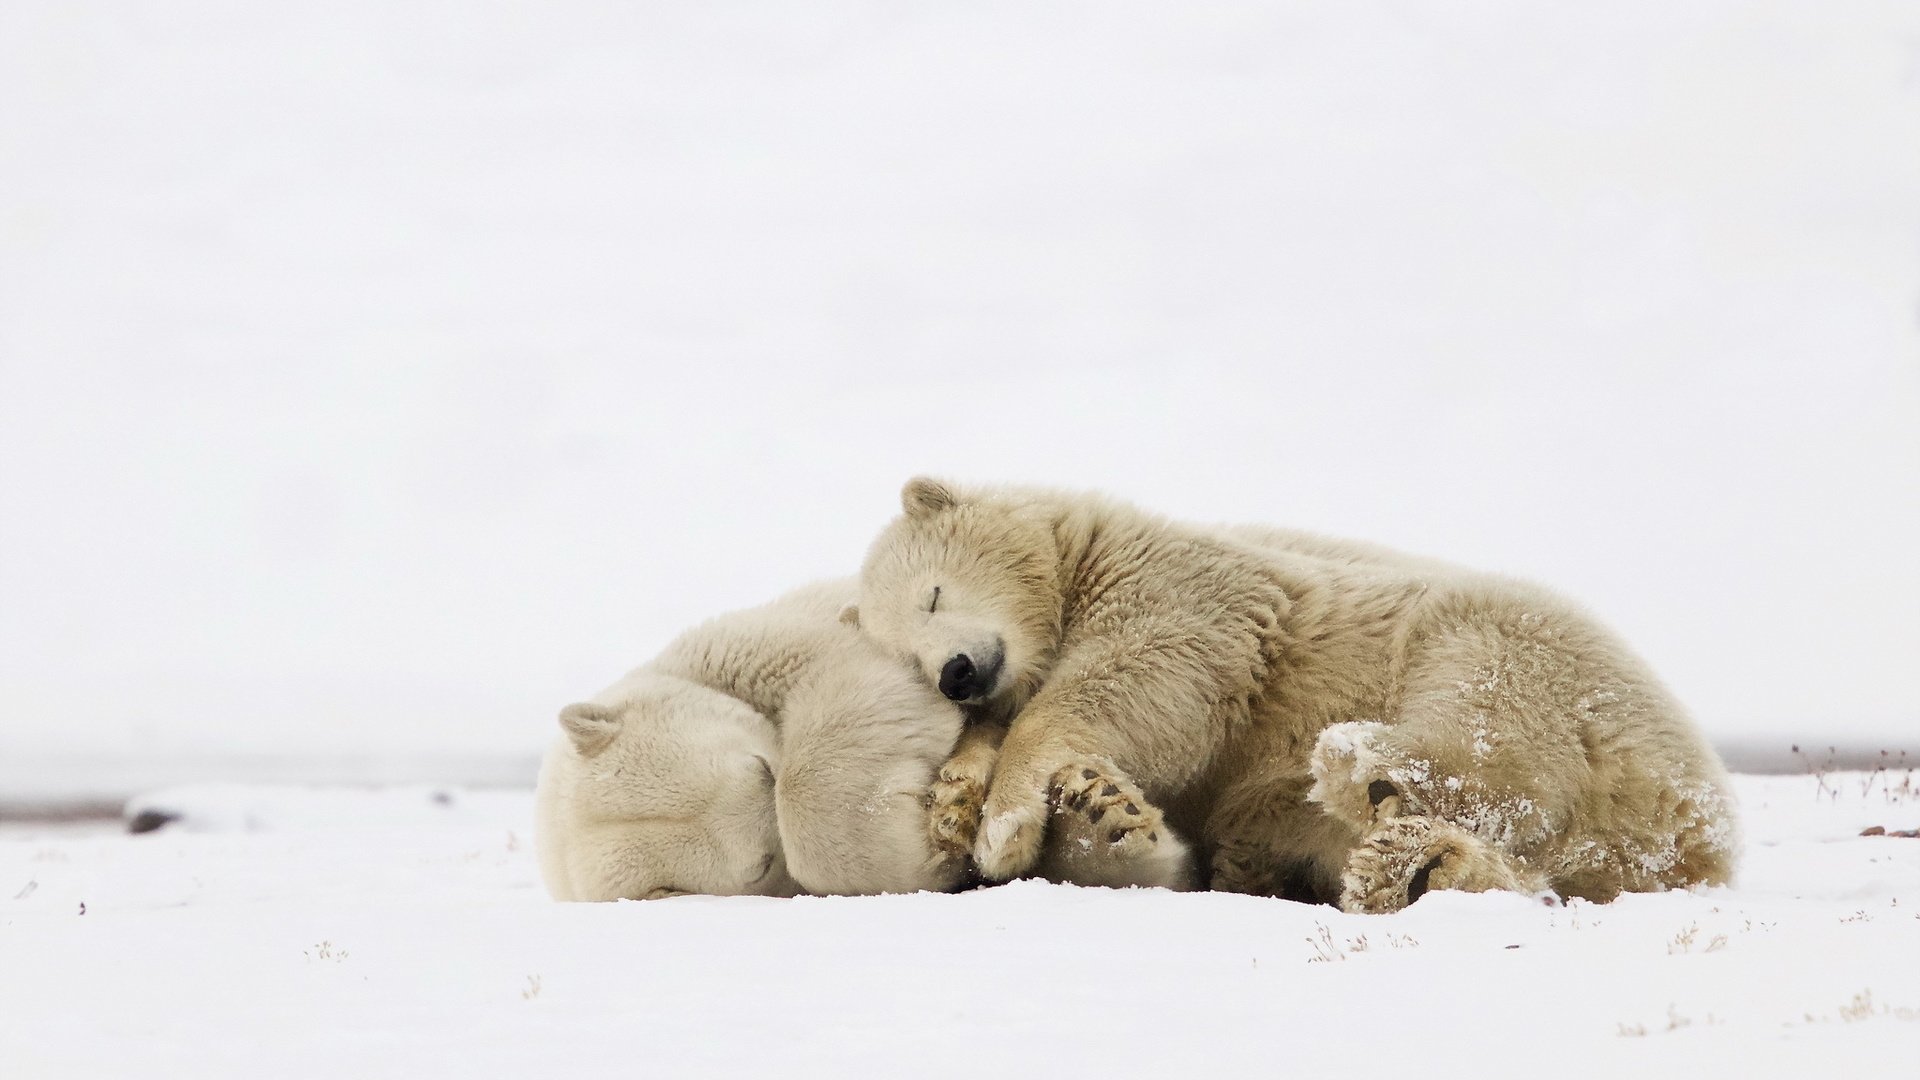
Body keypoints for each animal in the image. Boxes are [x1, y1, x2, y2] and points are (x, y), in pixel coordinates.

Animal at [529, 576, 1182, 895]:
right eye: (760, 865)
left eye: (761, 768)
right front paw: (925, 848)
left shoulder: (753, 642)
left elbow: (858, 668)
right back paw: (1098, 822)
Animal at [848, 478, 1735, 907]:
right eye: (907, 663)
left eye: (931, 593)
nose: (957, 672)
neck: (1086, 558)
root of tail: (1701, 827)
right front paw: (964, 802)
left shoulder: (1190, 586)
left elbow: (1153, 672)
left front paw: (1005, 822)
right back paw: (1410, 865)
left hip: (1524, 646)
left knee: (1488, 716)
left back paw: (1362, 768)